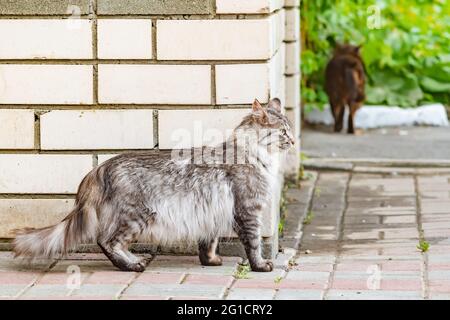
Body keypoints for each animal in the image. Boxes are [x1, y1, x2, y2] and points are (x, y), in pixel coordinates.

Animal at [13, 98, 296, 272]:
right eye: (283, 132)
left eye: (291, 129)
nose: (294, 141)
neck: (253, 153)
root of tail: (99, 168)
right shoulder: (248, 210)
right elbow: (254, 243)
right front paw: (261, 266)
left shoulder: (211, 212)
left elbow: (208, 242)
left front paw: (211, 260)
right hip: (138, 215)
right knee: (108, 241)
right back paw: (133, 265)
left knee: (105, 241)